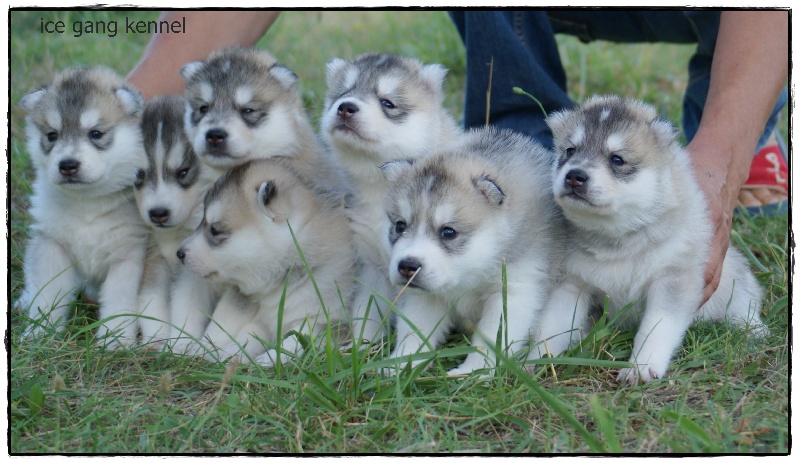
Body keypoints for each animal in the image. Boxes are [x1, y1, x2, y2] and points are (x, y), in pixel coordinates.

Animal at [16, 67, 152, 346]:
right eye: (52, 135)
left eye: (96, 133)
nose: (68, 165)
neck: (88, 204)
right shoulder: (51, 245)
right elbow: (47, 293)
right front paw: (39, 334)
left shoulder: (129, 255)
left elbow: (119, 300)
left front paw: (115, 341)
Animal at [177, 160, 354, 366]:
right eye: (202, 221)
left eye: (215, 230)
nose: (179, 253)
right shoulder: (263, 320)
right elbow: (248, 337)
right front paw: (223, 353)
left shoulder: (326, 322)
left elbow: (295, 340)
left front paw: (267, 361)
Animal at [320, 53, 462, 344]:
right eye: (342, 93)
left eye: (387, 102)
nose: (345, 107)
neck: (381, 184)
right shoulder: (371, 265)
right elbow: (366, 310)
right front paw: (362, 346)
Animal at [382, 127, 564, 376]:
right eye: (400, 225)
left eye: (448, 232)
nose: (407, 266)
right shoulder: (426, 296)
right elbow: (415, 328)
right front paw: (401, 364)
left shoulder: (515, 290)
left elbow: (492, 336)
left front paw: (474, 371)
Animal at [536, 95, 764, 384]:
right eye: (569, 150)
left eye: (617, 159)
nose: (574, 176)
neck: (615, 237)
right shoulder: (570, 283)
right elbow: (552, 325)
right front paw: (534, 361)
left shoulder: (672, 278)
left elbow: (657, 327)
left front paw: (641, 367)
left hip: (733, 281)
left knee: (745, 304)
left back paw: (754, 332)